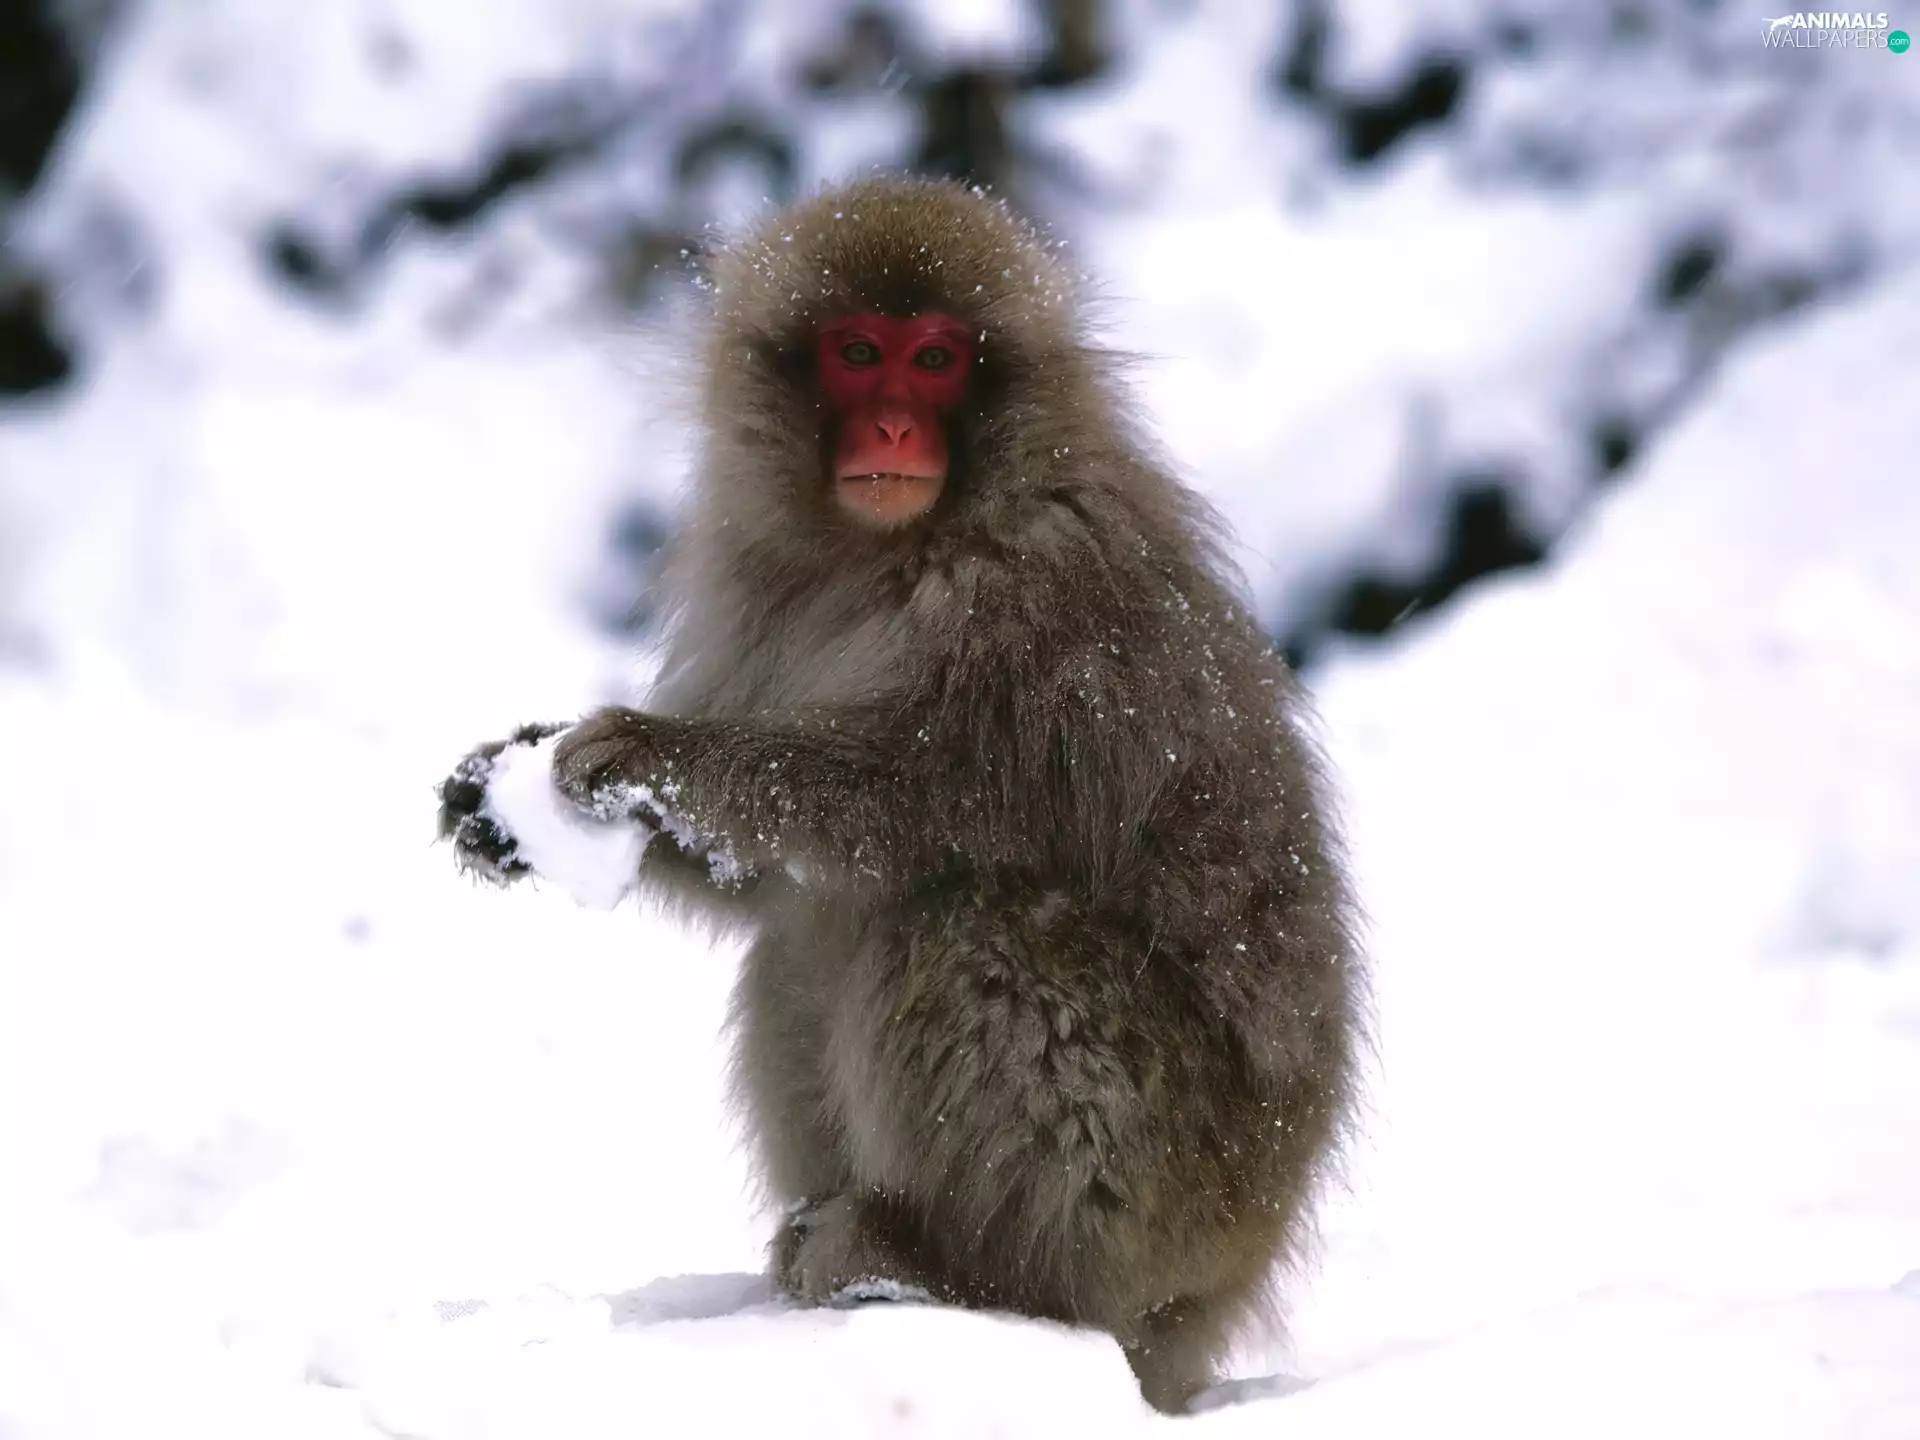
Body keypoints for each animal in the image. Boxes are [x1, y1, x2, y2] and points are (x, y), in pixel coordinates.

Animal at [435, 177, 1365, 1414]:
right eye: (858, 352)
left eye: (934, 360)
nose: (889, 428)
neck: (886, 553)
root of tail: (1226, 1290)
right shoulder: (755, 582)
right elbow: (760, 878)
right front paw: (504, 790)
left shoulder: (1031, 611)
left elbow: (893, 803)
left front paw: (642, 755)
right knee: (799, 940)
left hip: (1163, 1199)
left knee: (961, 920)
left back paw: (963, 1274)